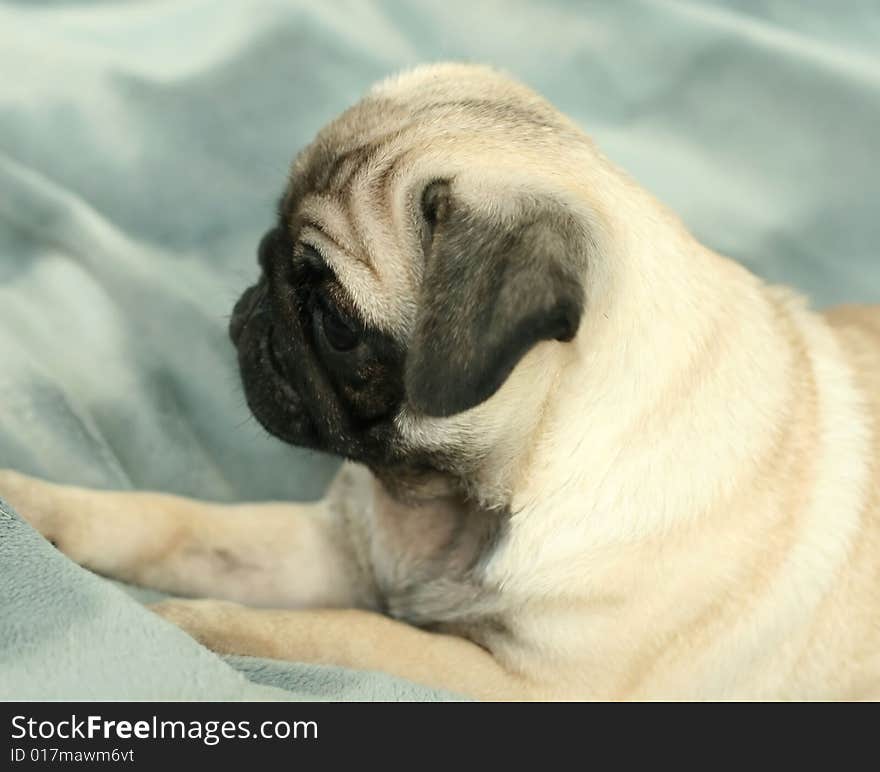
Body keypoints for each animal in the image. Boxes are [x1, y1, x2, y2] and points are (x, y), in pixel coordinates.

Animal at [1, 65, 880, 700]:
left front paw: (197, 624)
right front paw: (38, 508)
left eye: (337, 323)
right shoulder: (333, 549)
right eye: (266, 245)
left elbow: (345, 633)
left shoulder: (518, 684)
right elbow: (167, 522)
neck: (465, 499)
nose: (252, 313)